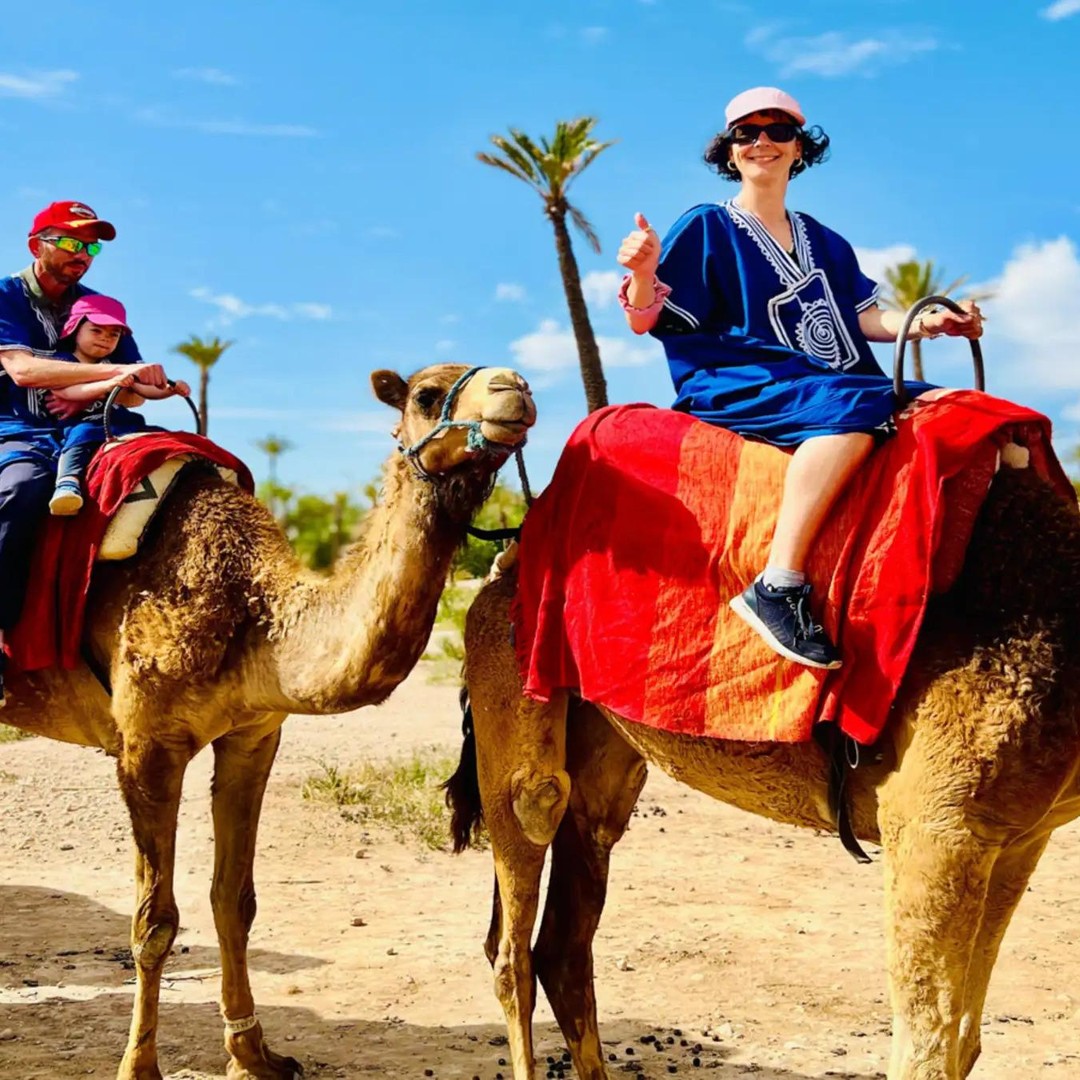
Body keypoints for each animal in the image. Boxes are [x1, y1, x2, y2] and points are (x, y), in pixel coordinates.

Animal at [1, 362, 534, 1080]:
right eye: (426, 395)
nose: (516, 390)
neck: (253, 610)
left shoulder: (253, 735)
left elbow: (234, 900)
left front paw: (255, 1053)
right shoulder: (146, 744)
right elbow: (153, 921)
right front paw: (139, 1066)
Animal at [448, 457, 1080, 1080]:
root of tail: (500, 568)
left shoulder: (1019, 837)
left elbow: (964, 1041)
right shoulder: (937, 828)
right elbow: (927, 1054)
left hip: (604, 751)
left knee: (565, 939)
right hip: (512, 681)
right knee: (518, 912)